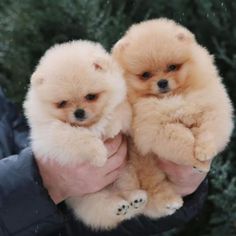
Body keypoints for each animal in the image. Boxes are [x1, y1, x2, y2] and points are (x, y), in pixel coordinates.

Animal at [22, 41, 148, 230]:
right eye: (62, 103)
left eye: (90, 96)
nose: (79, 112)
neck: (89, 125)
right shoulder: (51, 135)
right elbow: (78, 137)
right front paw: (100, 155)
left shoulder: (121, 105)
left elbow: (119, 110)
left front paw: (111, 126)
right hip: (89, 197)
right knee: (105, 210)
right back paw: (119, 206)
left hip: (125, 174)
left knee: (128, 200)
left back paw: (136, 199)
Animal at [112, 18, 234, 219]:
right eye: (145, 75)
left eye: (172, 67)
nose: (162, 82)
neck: (171, 99)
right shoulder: (156, 128)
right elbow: (181, 140)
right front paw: (196, 162)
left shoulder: (211, 107)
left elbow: (210, 131)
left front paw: (204, 153)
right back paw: (164, 201)